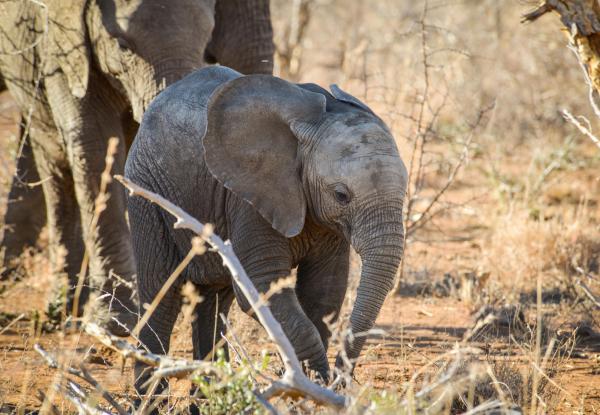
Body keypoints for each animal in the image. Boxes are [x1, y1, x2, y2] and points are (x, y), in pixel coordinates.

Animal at [0, 0, 274, 336]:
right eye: (122, 46)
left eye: (206, 39)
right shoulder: (62, 49)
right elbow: (94, 146)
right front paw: (114, 324)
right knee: (55, 163)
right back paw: (64, 310)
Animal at [126, 66, 408, 394]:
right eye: (341, 195)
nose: (340, 381)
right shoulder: (249, 199)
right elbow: (262, 285)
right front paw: (311, 385)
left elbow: (325, 291)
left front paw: (312, 385)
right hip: (146, 189)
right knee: (161, 291)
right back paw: (148, 398)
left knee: (214, 300)